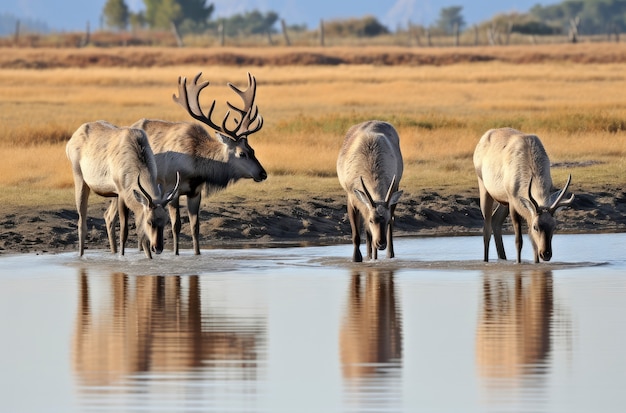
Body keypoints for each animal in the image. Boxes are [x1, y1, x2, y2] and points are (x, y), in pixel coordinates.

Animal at [65, 119, 178, 260]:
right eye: (149, 221)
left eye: (165, 221)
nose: (157, 248)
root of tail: (72, 140)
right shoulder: (122, 194)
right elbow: (124, 232)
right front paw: (122, 257)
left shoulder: (122, 194)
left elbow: (141, 234)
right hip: (80, 178)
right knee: (82, 223)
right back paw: (81, 256)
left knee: (108, 218)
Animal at [127, 73, 266, 254]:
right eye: (242, 153)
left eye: (253, 150)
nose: (263, 173)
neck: (194, 168)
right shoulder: (172, 189)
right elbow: (176, 226)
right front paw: (176, 253)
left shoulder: (195, 192)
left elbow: (195, 227)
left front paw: (197, 253)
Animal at [336, 120, 404, 260]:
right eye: (372, 220)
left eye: (386, 220)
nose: (381, 243)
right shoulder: (352, 199)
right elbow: (356, 235)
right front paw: (356, 258)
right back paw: (369, 254)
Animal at [470, 127, 572, 262]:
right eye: (536, 227)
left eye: (554, 226)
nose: (546, 254)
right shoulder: (513, 203)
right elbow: (519, 240)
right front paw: (518, 262)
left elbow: (533, 242)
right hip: (484, 187)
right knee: (486, 229)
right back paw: (486, 260)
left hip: (504, 201)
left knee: (496, 220)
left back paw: (503, 258)